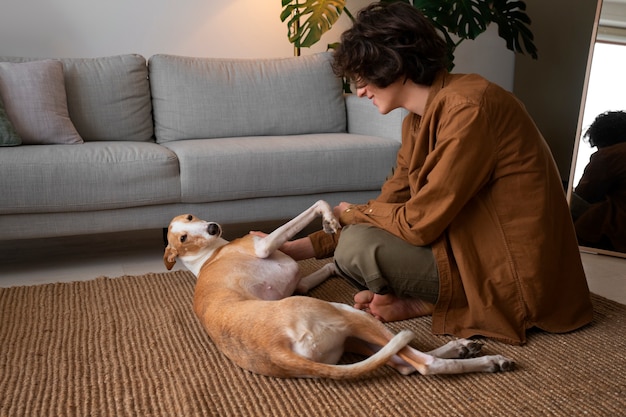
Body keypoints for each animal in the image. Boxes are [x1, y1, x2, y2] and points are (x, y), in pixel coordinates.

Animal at [162, 200, 512, 378]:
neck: (206, 256)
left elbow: (323, 269)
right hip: (348, 316)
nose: (212, 227)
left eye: (190, 216)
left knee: (401, 362)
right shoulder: (262, 247)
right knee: (421, 364)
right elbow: (318, 203)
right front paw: (331, 219)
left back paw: (465, 349)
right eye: (183, 237)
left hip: (348, 339)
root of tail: (278, 351)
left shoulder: (300, 283)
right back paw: (481, 359)